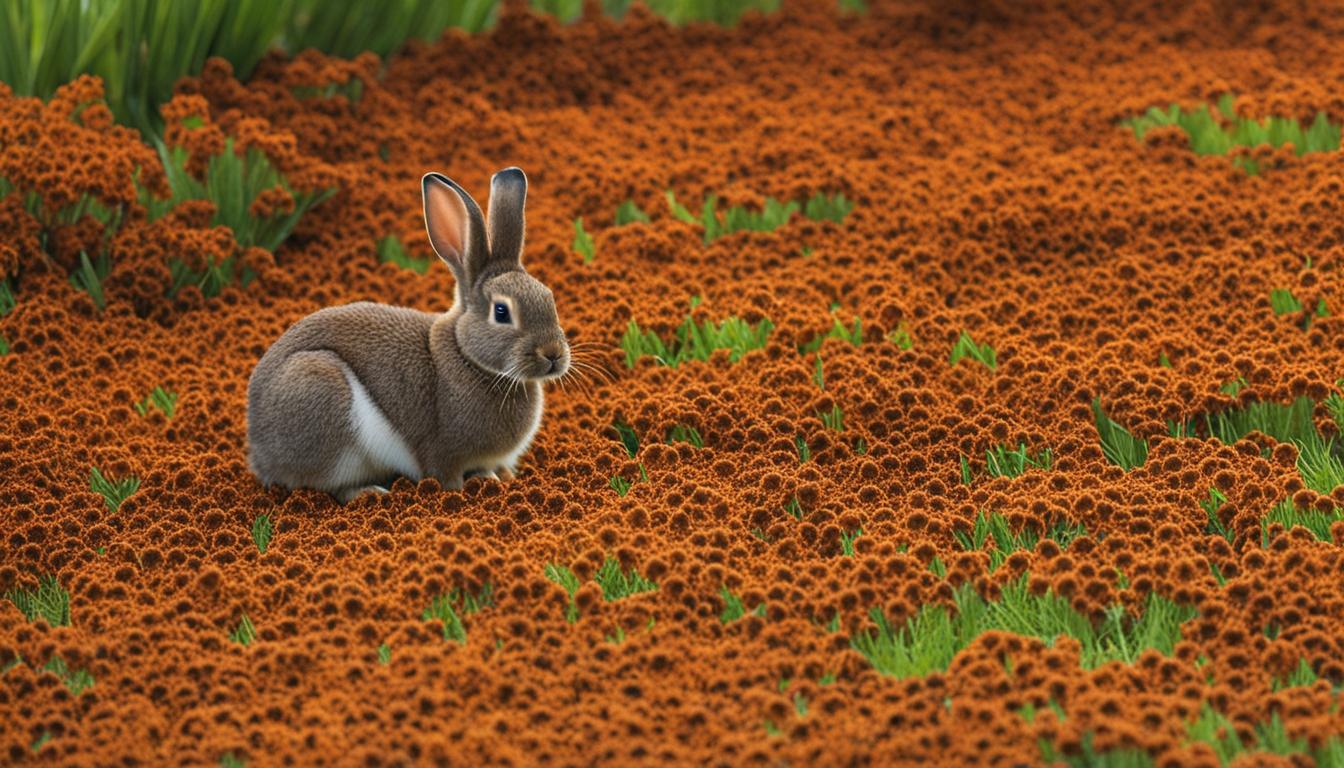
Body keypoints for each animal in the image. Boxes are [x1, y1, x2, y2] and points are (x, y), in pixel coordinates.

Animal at [246, 167, 570, 502]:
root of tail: (259, 450)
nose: (553, 355)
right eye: (502, 312)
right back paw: (370, 492)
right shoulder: (443, 452)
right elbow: (445, 473)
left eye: (549, 297)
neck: (468, 357)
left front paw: (494, 477)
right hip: (322, 398)